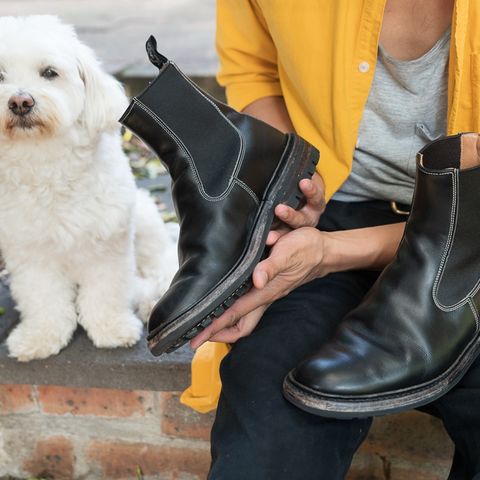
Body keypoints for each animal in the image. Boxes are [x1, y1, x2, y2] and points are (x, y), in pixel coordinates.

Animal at [0, 15, 178, 360]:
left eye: (49, 73)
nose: (20, 101)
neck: (46, 163)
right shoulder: (30, 254)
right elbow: (42, 298)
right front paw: (41, 336)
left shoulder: (109, 242)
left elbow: (106, 291)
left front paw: (111, 328)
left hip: (145, 220)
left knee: (161, 266)